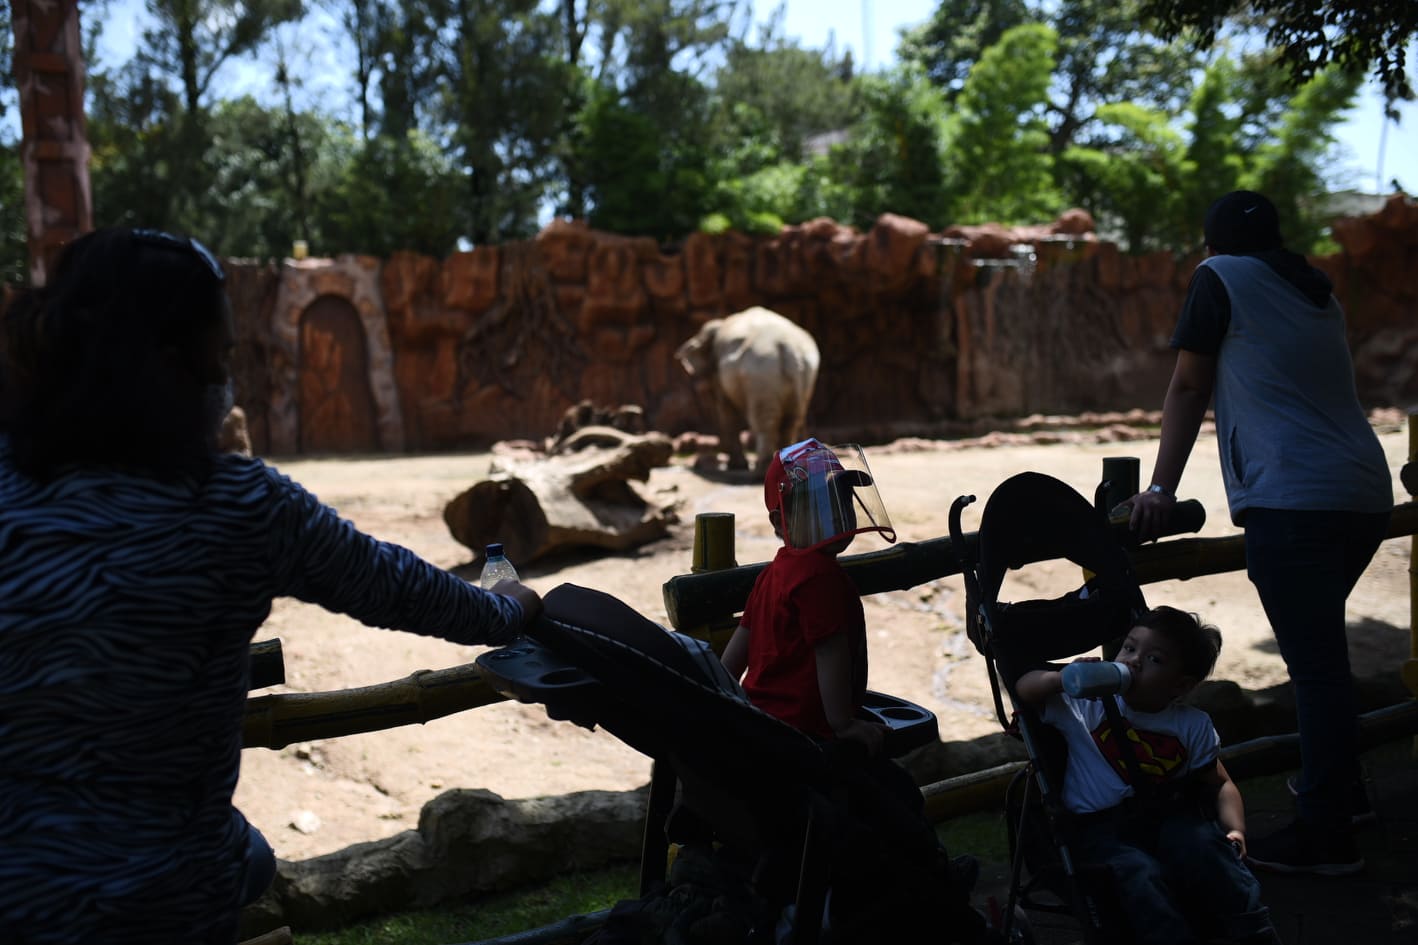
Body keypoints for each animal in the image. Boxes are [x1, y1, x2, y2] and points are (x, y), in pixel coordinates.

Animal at [674, 305, 822, 471]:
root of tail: (787, 347)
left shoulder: (719, 372)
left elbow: (727, 412)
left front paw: (736, 466)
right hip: (806, 376)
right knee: (791, 420)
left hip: (762, 372)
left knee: (764, 422)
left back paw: (762, 469)